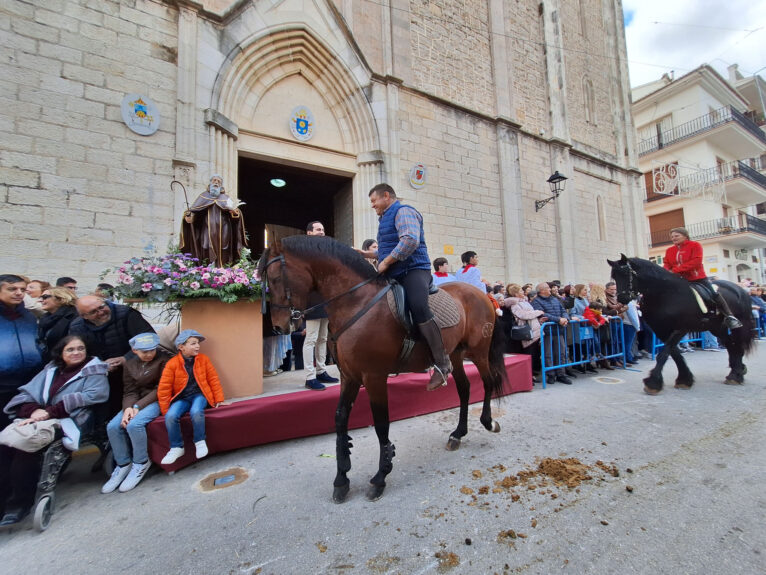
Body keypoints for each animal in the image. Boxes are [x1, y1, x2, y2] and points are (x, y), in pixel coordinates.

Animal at [260, 236, 508, 502]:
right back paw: (457, 434)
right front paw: (341, 479)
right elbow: (340, 419)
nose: (278, 327)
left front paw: (380, 477)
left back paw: (488, 422)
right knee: (464, 389)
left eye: (275, 278)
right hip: (455, 354)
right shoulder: (349, 376)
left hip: (479, 352)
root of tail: (482, 294)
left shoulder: (374, 377)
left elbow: (381, 424)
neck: (355, 303)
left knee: (488, 382)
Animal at [608, 256, 760, 396]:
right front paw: (684, 379)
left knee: (736, 344)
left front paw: (653, 382)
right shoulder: (661, 330)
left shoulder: (682, 327)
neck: (665, 293)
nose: (622, 298)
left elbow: (665, 353)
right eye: (614, 276)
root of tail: (739, 289)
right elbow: (674, 353)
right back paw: (736, 371)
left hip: (735, 325)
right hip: (716, 327)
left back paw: (736, 374)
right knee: (731, 344)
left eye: (627, 273)